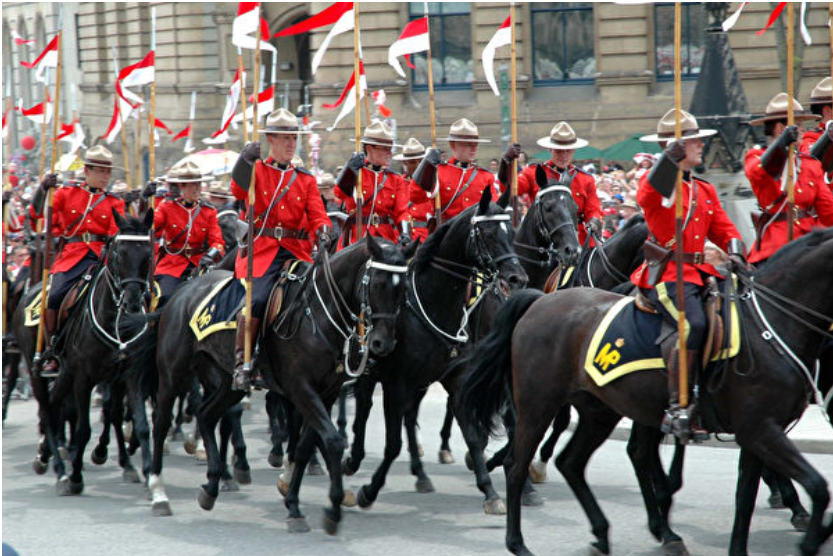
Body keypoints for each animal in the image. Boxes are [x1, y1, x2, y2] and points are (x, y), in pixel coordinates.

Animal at [458, 227, 832, 556]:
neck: (768, 324)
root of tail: (539, 302)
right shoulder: (760, 429)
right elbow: (817, 486)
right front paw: (811, 538)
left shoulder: (758, 431)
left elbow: (746, 499)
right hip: (538, 405)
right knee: (517, 466)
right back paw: (518, 540)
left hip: (600, 411)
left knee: (573, 462)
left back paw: (607, 533)